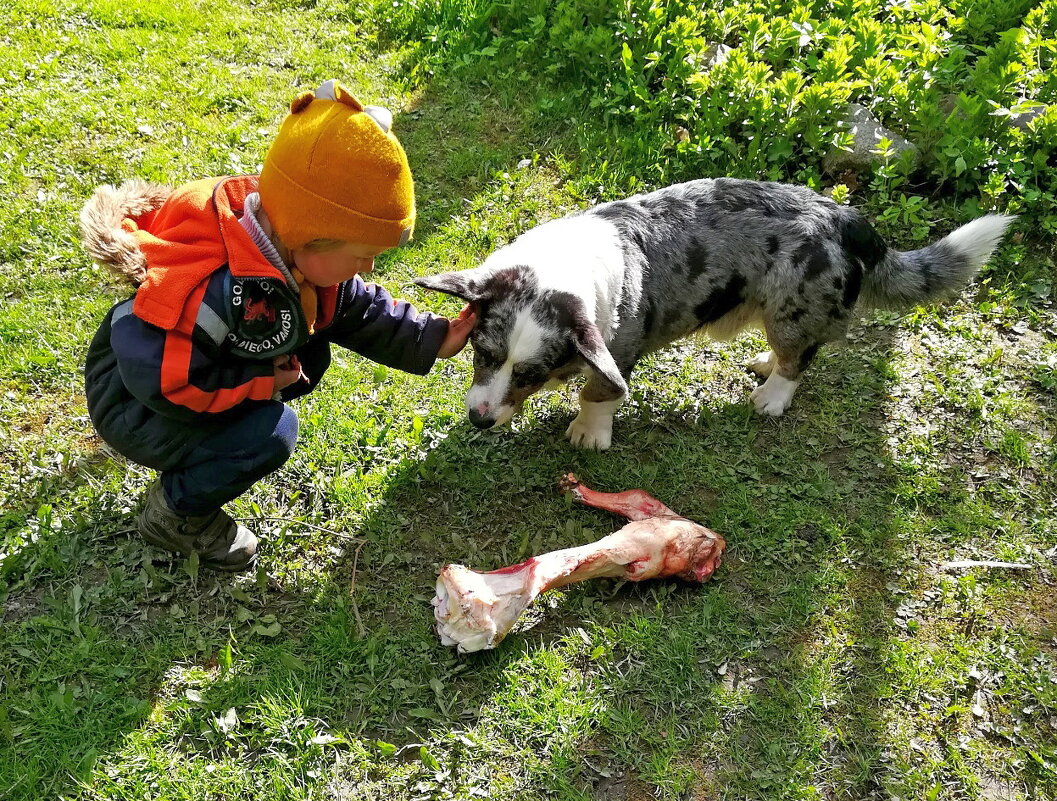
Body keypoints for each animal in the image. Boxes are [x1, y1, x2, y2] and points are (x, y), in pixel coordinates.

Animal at [414, 177, 1014, 452]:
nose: (478, 421)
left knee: (800, 359)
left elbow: (599, 392)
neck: (563, 268)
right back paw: (762, 366)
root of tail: (846, 217)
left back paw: (771, 396)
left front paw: (588, 432)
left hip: (793, 309)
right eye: (482, 353)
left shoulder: (617, 352)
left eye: (533, 374)